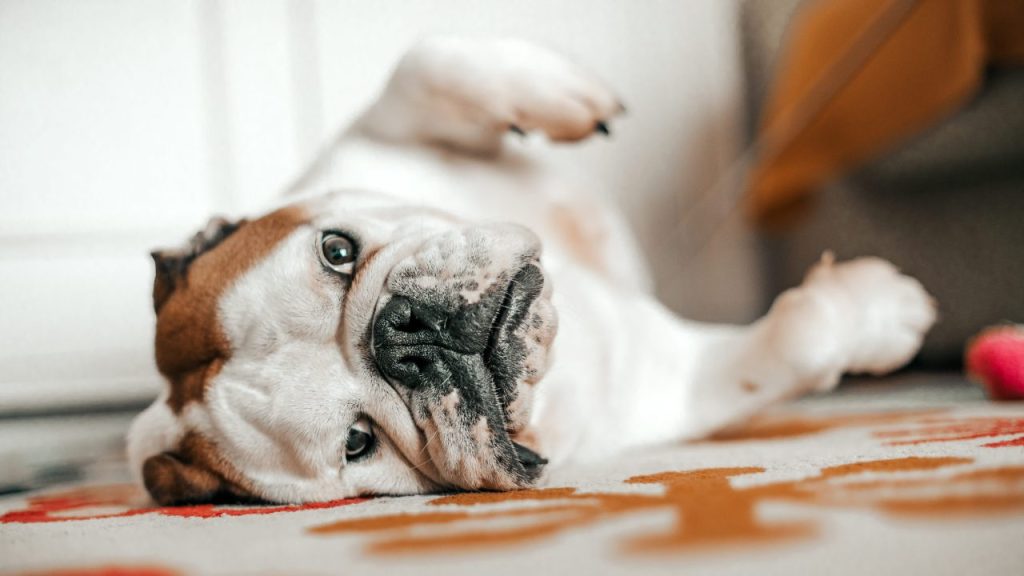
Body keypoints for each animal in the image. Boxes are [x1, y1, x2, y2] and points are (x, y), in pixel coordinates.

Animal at [128, 38, 937, 502]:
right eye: (358, 443)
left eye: (337, 251)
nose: (406, 337)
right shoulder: (668, 386)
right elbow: (796, 340)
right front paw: (883, 312)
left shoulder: (371, 138)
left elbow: (425, 63)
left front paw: (563, 91)